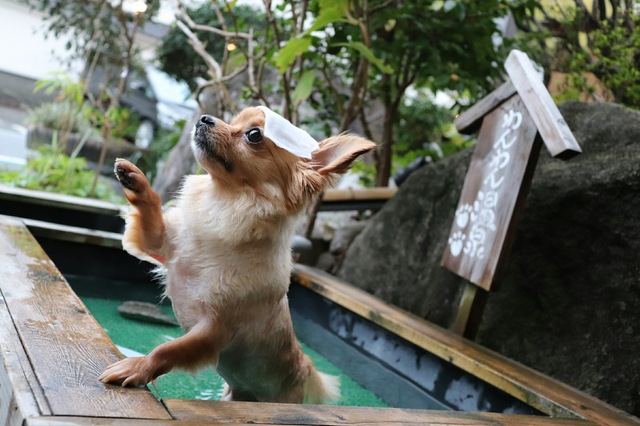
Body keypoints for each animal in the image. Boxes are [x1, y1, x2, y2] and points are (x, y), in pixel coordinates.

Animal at [99, 106, 376, 402]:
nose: (205, 118)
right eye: (232, 121)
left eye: (254, 135)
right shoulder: (161, 244)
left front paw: (137, 367)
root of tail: (304, 366)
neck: (226, 204)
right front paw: (135, 180)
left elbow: (169, 350)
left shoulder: (213, 330)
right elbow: (153, 212)